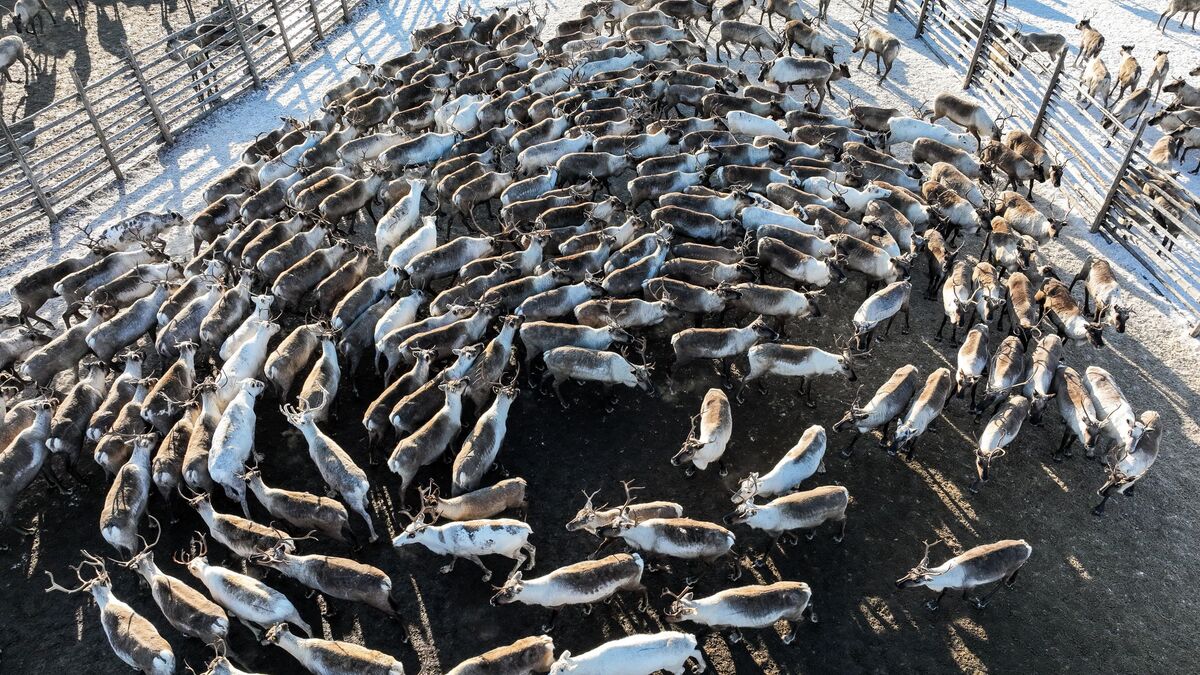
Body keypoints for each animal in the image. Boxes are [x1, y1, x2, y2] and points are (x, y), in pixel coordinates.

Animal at [896, 539, 1033, 610]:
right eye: (909, 571)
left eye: (917, 580)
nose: (897, 583)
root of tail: (1027, 546)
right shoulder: (949, 585)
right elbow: (943, 593)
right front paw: (933, 604)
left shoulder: (970, 585)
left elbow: (965, 598)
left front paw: (978, 603)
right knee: (1022, 565)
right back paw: (1012, 581)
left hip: (1008, 570)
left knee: (1001, 583)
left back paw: (985, 600)